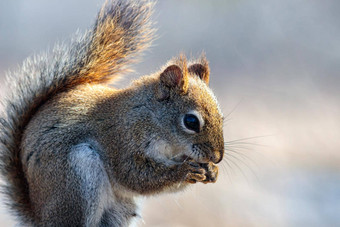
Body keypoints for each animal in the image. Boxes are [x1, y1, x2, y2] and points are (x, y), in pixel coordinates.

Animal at [0, 0, 223, 226]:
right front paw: (183, 171)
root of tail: (40, 216)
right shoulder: (121, 140)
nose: (217, 157)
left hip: (119, 208)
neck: (151, 120)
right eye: (191, 121)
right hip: (78, 181)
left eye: (221, 117)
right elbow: (136, 176)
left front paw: (211, 171)